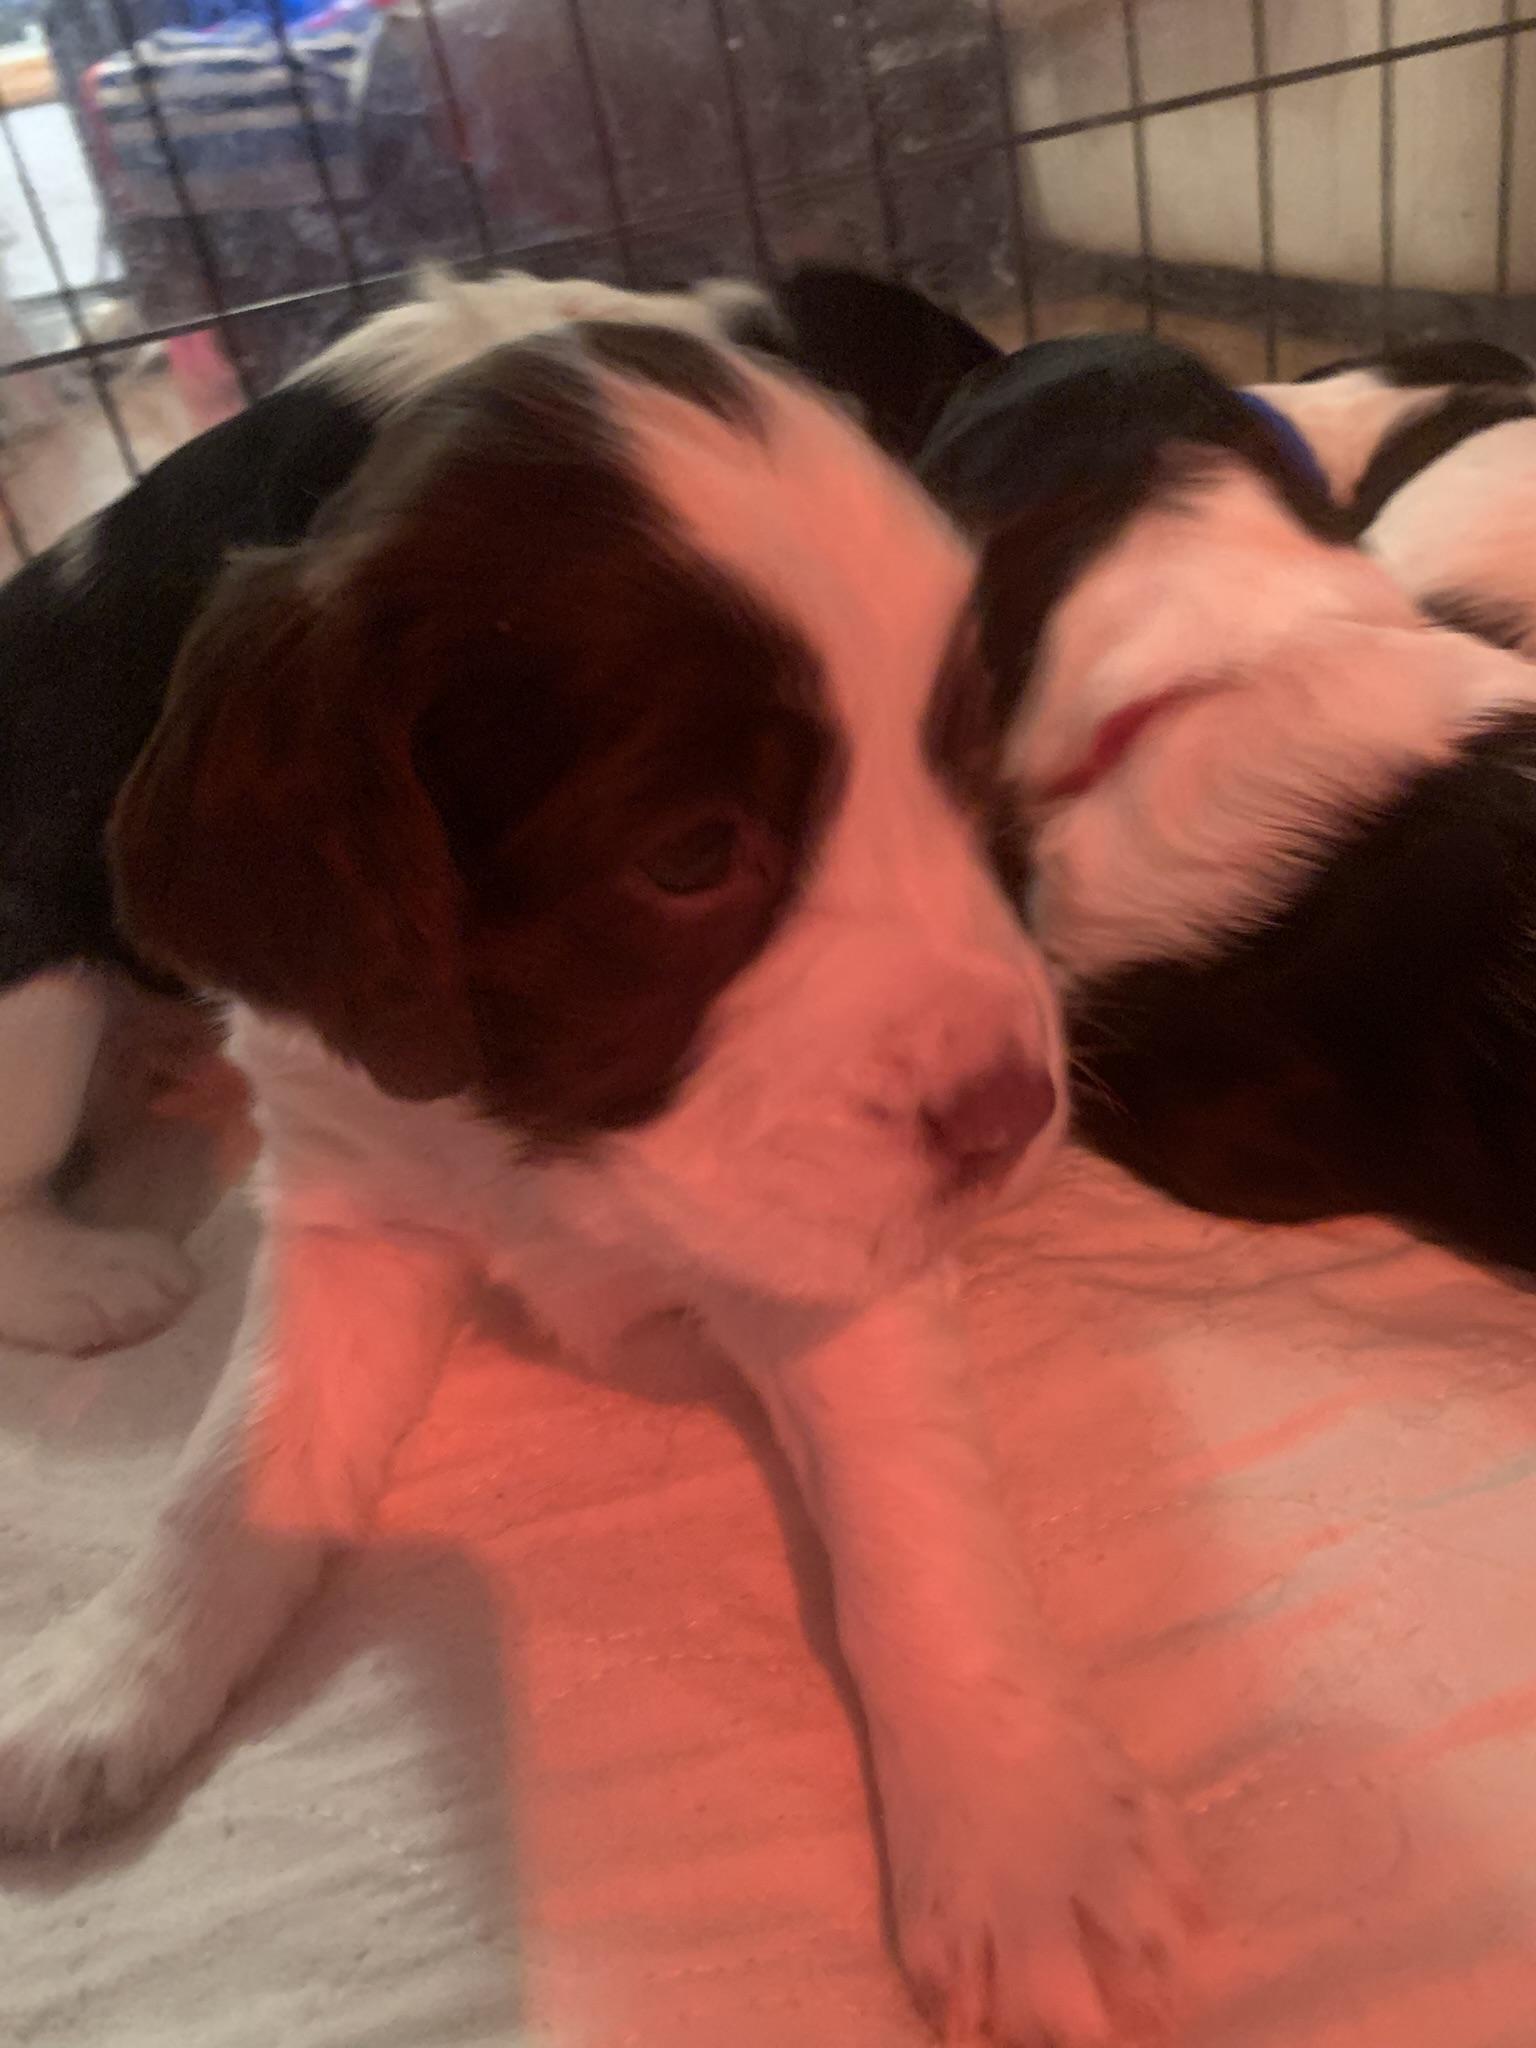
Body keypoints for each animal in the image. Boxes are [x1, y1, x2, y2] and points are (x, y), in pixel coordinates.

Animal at [0, 273, 1195, 2047]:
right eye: (691, 858)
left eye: (972, 772)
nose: (1013, 1116)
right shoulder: (350, 1175)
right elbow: (233, 1470)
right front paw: (105, 1675)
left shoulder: (835, 1234)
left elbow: (913, 1525)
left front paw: (1016, 1836)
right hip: (36, 995)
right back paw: (91, 1269)